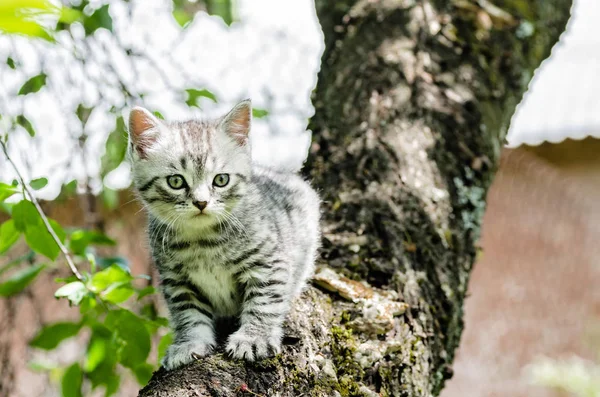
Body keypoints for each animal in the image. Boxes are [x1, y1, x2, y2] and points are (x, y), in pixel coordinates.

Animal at [129, 99, 322, 368]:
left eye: (221, 180)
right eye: (176, 182)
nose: (201, 202)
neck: (202, 241)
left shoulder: (268, 262)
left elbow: (263, 302)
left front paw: (254, 337)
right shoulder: (177, 281)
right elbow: (188, 314)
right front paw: (189, 343)